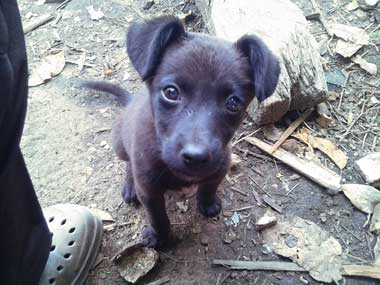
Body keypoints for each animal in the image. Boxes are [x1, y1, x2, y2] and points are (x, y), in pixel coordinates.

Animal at [84, 16, 280, 246]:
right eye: (171, 92)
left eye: (233, 103)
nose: (196, 157)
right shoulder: (149, 190)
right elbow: (158, 217)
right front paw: (159, 237)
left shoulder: (220, 166)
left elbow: (209, 187)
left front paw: (207, 204)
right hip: (119, 144)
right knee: (128, 164)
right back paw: (130, 186)